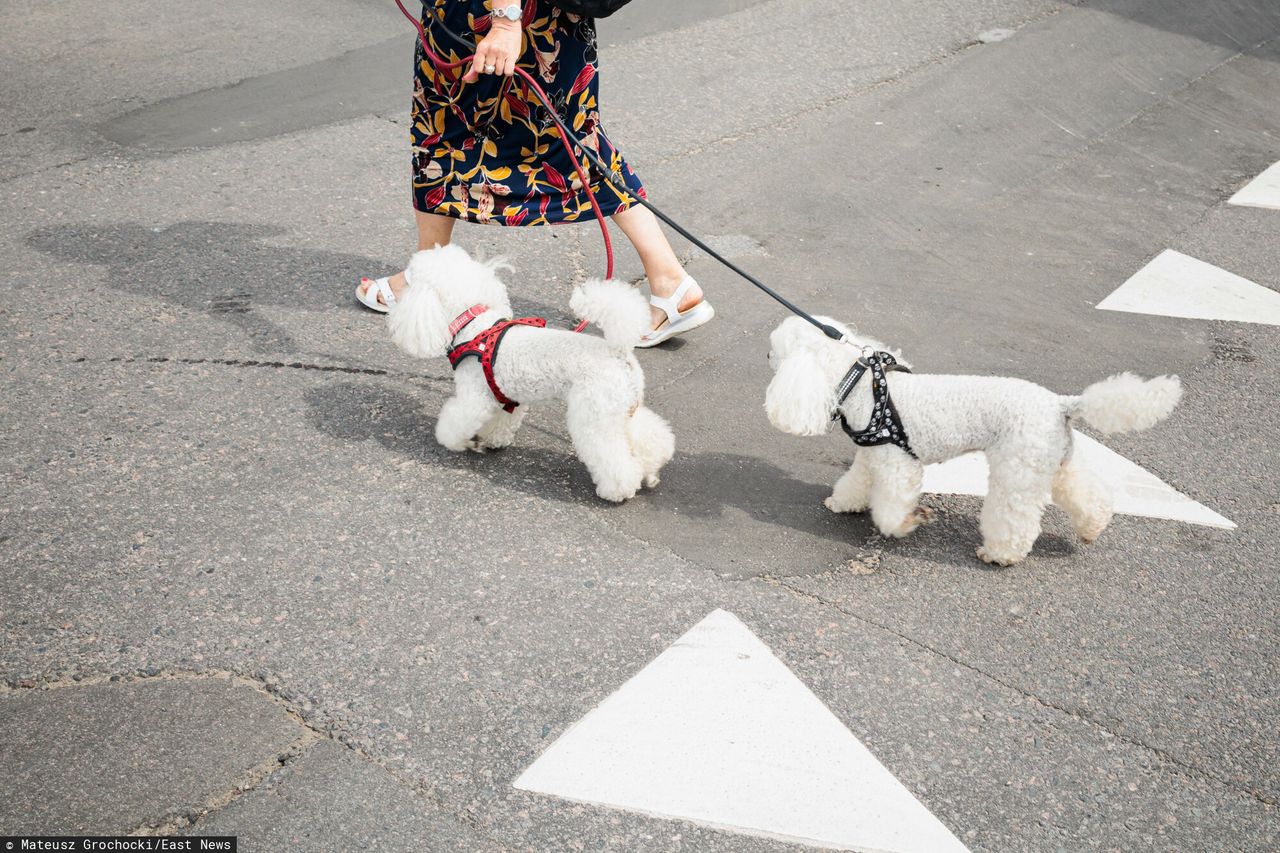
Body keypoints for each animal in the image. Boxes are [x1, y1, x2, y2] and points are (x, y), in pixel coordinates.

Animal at [384, 242, 675, 502]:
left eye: (410, 278)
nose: (396, 290)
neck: (475, 327)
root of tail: (619, 351)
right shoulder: (505, 397)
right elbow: (501, 421)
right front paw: (491, 440)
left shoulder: (475, 397)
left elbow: (456, 420)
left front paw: (455, 441)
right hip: (623, 408)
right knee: (650, 438)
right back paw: (650, 471)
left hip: (595, 412)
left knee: (612, 456)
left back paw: (617, 491)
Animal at [762, 313, 1182, 563]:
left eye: (776, 347)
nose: (765, 355)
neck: (865, 386)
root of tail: (1061, 403)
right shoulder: (873, 456)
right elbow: (856, 482)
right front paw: (842, 503)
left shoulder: (898, 465)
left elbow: (892, 507)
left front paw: (907, 523)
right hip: (1051, 460)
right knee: (1084, 493)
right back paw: (1092, 526)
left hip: (1017, 467)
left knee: (1016, 517)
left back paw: (1000, 553)